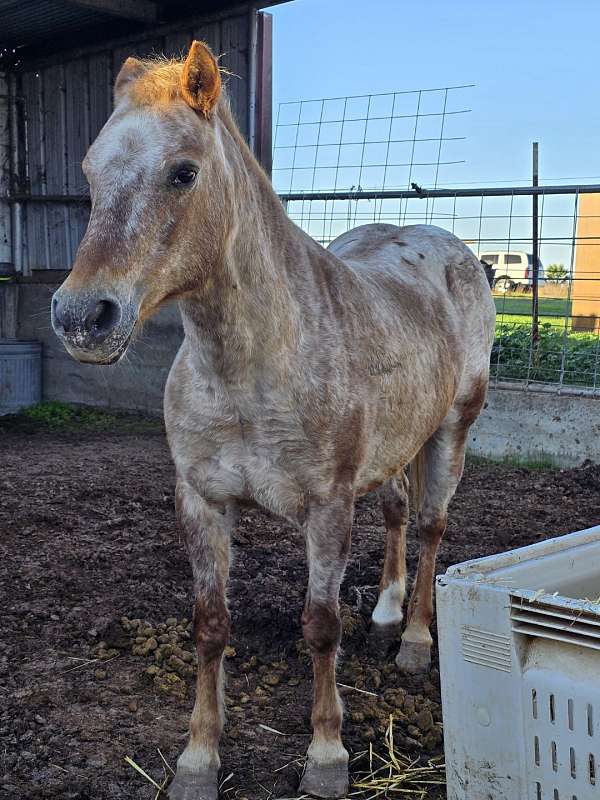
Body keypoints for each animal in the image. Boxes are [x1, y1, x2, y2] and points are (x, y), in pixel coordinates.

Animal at [51, 41, 496, 800]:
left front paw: (327, 755)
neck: (250, 368)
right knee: (398, 513)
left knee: (433, 527)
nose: (84, 318)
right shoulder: (202, 501)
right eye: (89, 169)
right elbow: (210, 625)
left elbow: (320, 627)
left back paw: (412, 642)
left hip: (451, 431)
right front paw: (198, 759)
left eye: (183, 171)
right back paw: (385, 615)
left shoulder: (327, 508)